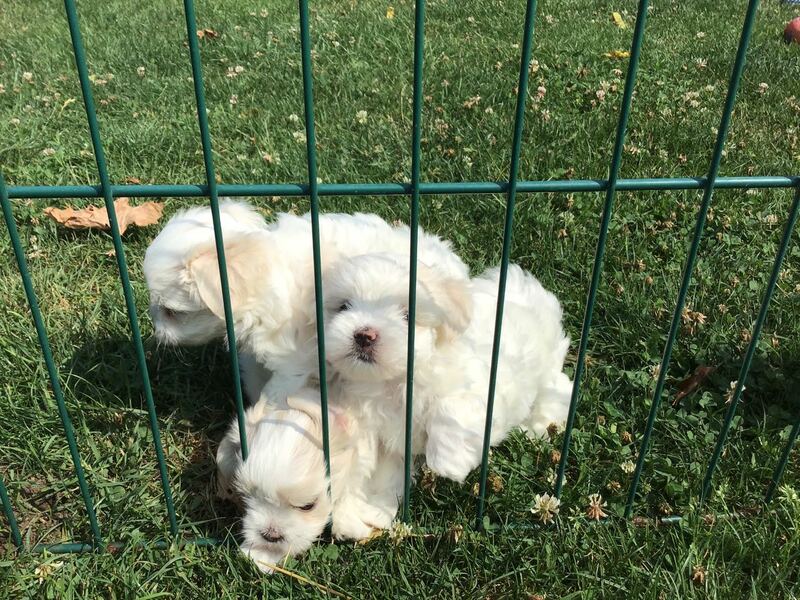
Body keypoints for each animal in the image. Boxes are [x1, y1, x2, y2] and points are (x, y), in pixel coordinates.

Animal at [324, 253, 573, 483]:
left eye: (407, 315)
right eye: (344, 306)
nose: (364, 336)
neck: (396, 381)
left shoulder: (479, 386)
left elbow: (450, 408)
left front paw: (449, 463)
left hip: (548, 366)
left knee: (559, 389)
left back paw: (536, 427)